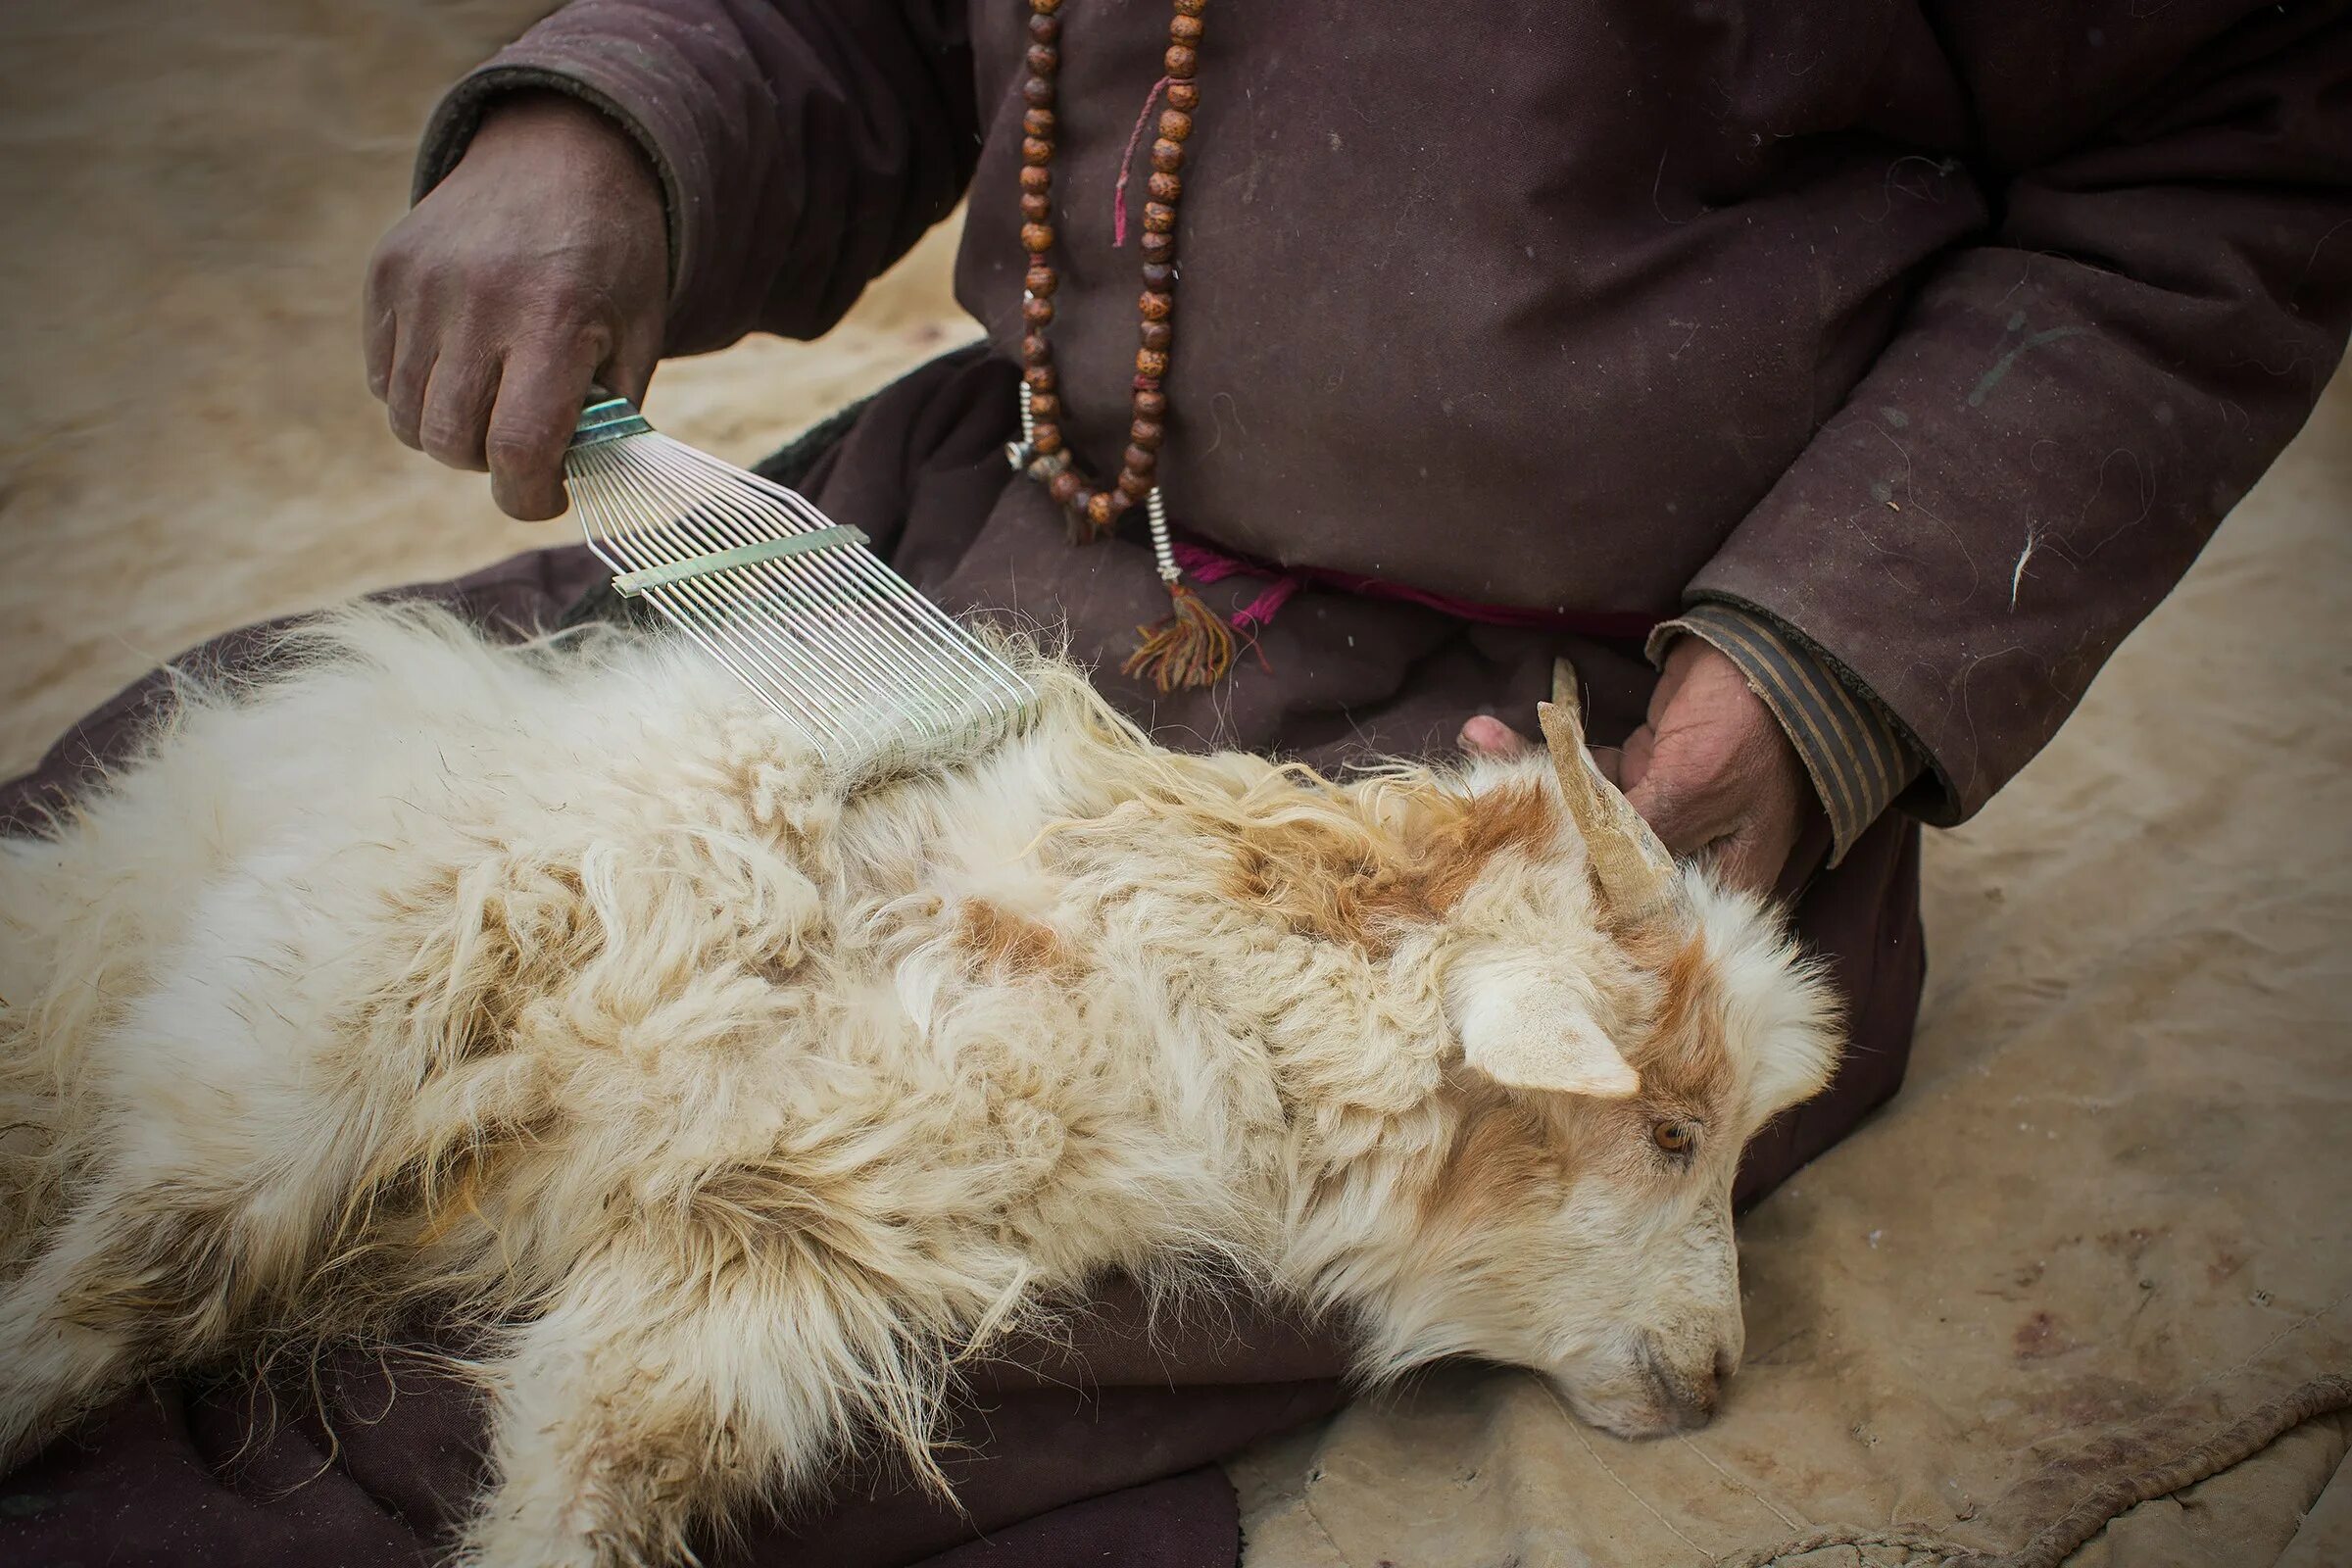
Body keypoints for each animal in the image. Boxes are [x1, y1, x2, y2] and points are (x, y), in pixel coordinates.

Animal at [0, 606, 1835, 1560]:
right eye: (1672, 1130)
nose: (1716, 1379)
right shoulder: (360, 980)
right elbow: (140, 1271)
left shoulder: (754, 1251)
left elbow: (595, 1466)